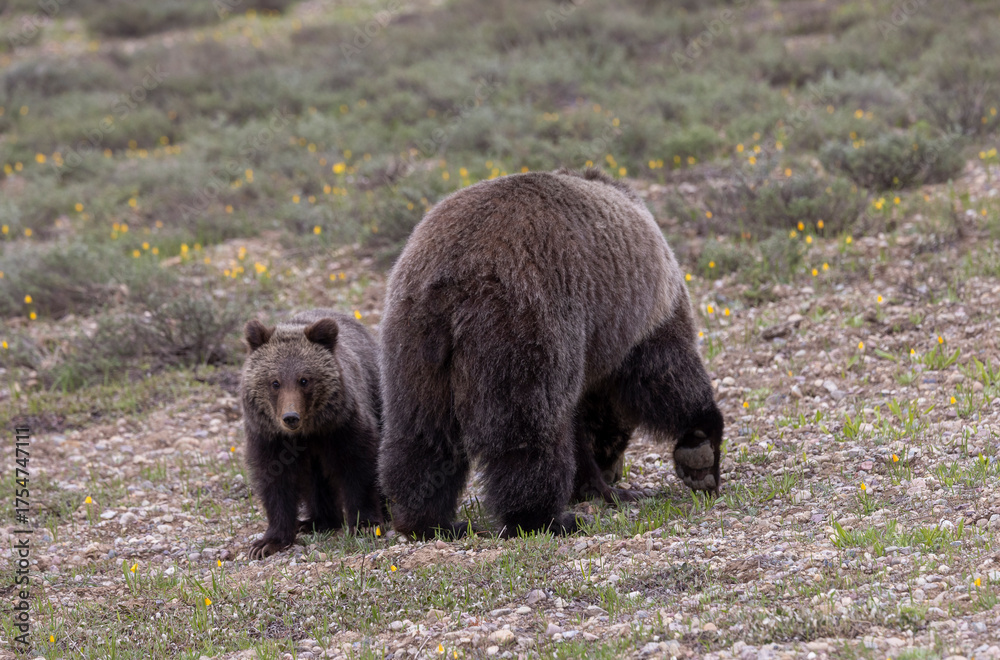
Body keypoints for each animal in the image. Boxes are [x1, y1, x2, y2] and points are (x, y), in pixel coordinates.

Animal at [240, 308, 383, 559]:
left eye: (304, 379)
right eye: (275, 382)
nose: (290, 417)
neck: (307, 433)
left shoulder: (341, 426)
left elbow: (359, 465)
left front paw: (365, 524)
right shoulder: (270, 438)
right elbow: (275, 482)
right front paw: (267, 543)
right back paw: (315, 521)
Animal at [377, 168, 724, 539]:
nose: (615, 471)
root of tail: (453, 278)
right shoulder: (640, 319)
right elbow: (664, 376)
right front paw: (699, 451)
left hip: (414, 343)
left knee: (421, 430)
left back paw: (429, 519)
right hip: (526, 319)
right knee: (529, 426)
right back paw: (545, 518)